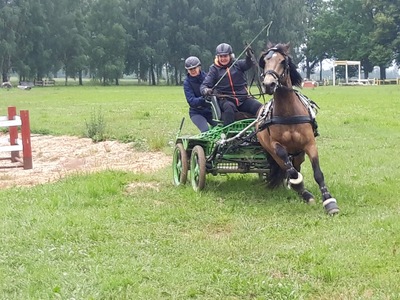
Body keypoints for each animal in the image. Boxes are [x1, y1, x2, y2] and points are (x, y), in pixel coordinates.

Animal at [256, 42, 338, 214]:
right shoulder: (276, 147)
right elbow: (291, 172)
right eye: (264, 61)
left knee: (297, 166)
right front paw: (301, 189)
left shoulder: (309, 144)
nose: (268, 84)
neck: (288, 114)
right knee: (289, 169)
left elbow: (318, 173)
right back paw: (302, 192)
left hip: (299, 154)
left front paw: (329, 201)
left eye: (283, 61)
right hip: (275, 154)